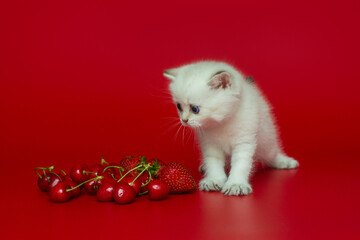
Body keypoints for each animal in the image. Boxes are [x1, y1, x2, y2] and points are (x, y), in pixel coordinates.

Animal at [163, 60, 298, 195]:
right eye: (179, 106)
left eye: (195, 109)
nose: (184, 120)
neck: (222, 124)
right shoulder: (211, 145)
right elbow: (214, 163)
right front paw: (214, 180)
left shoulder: (244, 142)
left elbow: (240, 165)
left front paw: (236, 184)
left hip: (266, 142)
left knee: (272, 154)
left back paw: (285, 162)